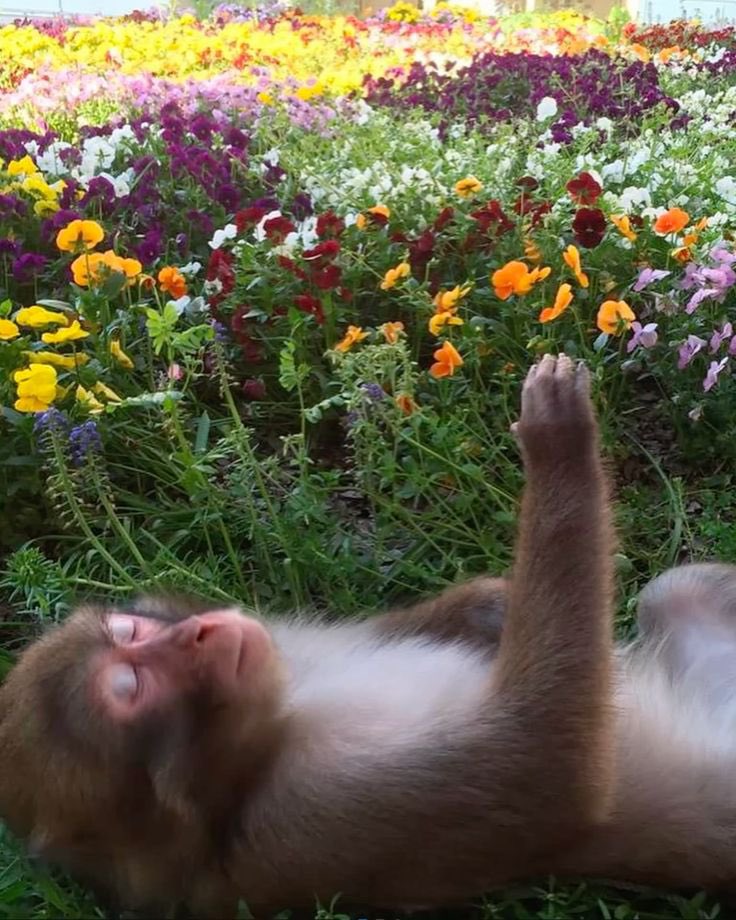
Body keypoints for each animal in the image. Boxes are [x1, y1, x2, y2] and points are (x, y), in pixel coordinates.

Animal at [0, 353, 617, 917]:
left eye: (130, 630)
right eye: (130, 686)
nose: (199, 632)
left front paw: (495, 605)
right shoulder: (309, 813)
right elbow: (545, 764)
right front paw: (557, 441)